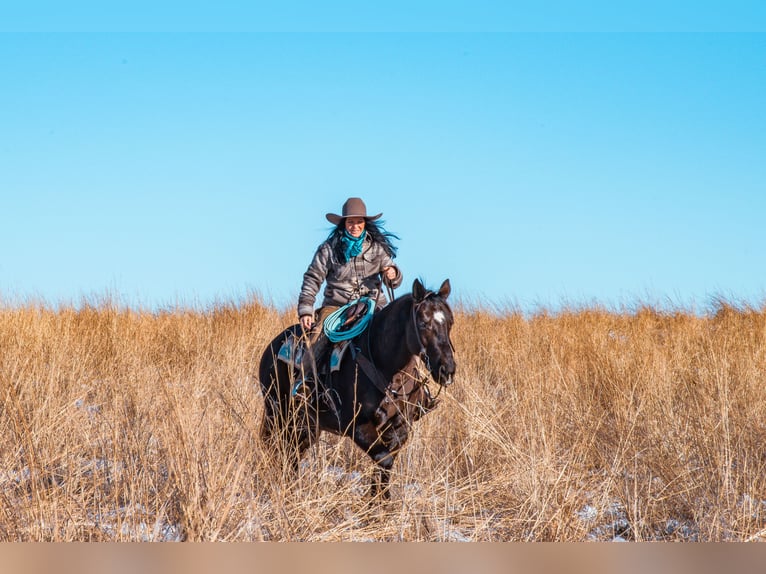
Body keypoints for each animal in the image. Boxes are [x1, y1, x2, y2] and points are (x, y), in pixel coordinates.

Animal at [258, 278, 456, 499]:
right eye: (423, 323)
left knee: (294, 452)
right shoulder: (357, 427)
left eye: (450, 322)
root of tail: (272, 346)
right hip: (278, 414)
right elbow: (384, 459)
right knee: (282, 450)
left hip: (307, 425)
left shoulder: (400, 428)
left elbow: (385, 465)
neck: (385, 367)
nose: (447, 370)